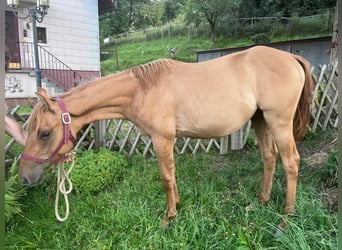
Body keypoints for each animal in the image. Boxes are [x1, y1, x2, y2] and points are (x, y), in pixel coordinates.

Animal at [18, 45, 312, 229]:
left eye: (44, 133)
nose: (24, 177)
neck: (141, 90)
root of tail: (292, 59)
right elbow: (172, 175)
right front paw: (177, 206)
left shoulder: (162, 139)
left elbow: (166, 178)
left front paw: (169, 217)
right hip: (261, 121)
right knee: (269, 158)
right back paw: (261, 202)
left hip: (279, 122)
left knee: (291, 163)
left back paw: (287, 217)